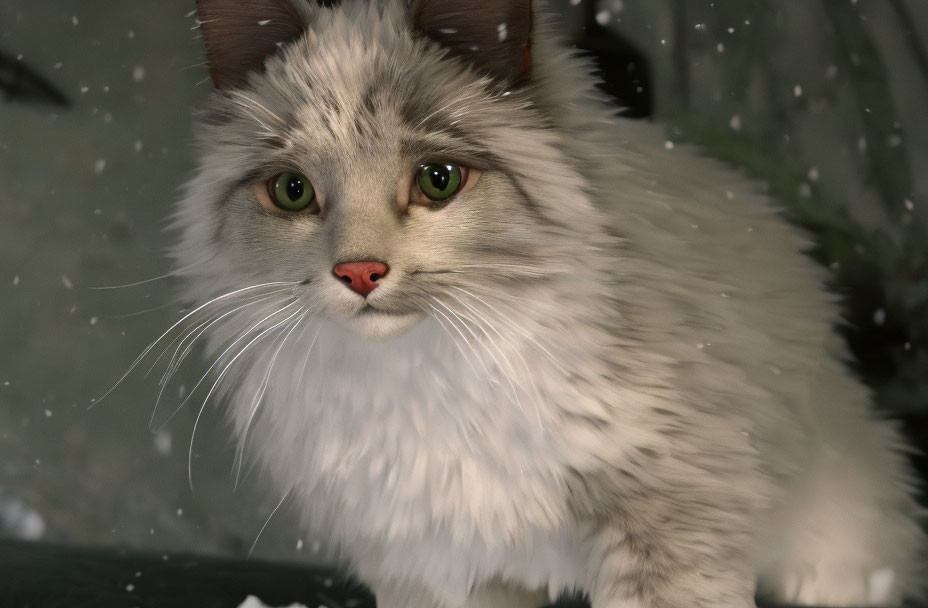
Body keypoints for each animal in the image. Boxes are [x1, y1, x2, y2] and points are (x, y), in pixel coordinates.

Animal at [163, 1, 924, 608]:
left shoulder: (666, 538)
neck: (434, 385)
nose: (359, 272)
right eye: (293, 192)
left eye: (438, 181)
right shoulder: (436, 566)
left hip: (833, 553)